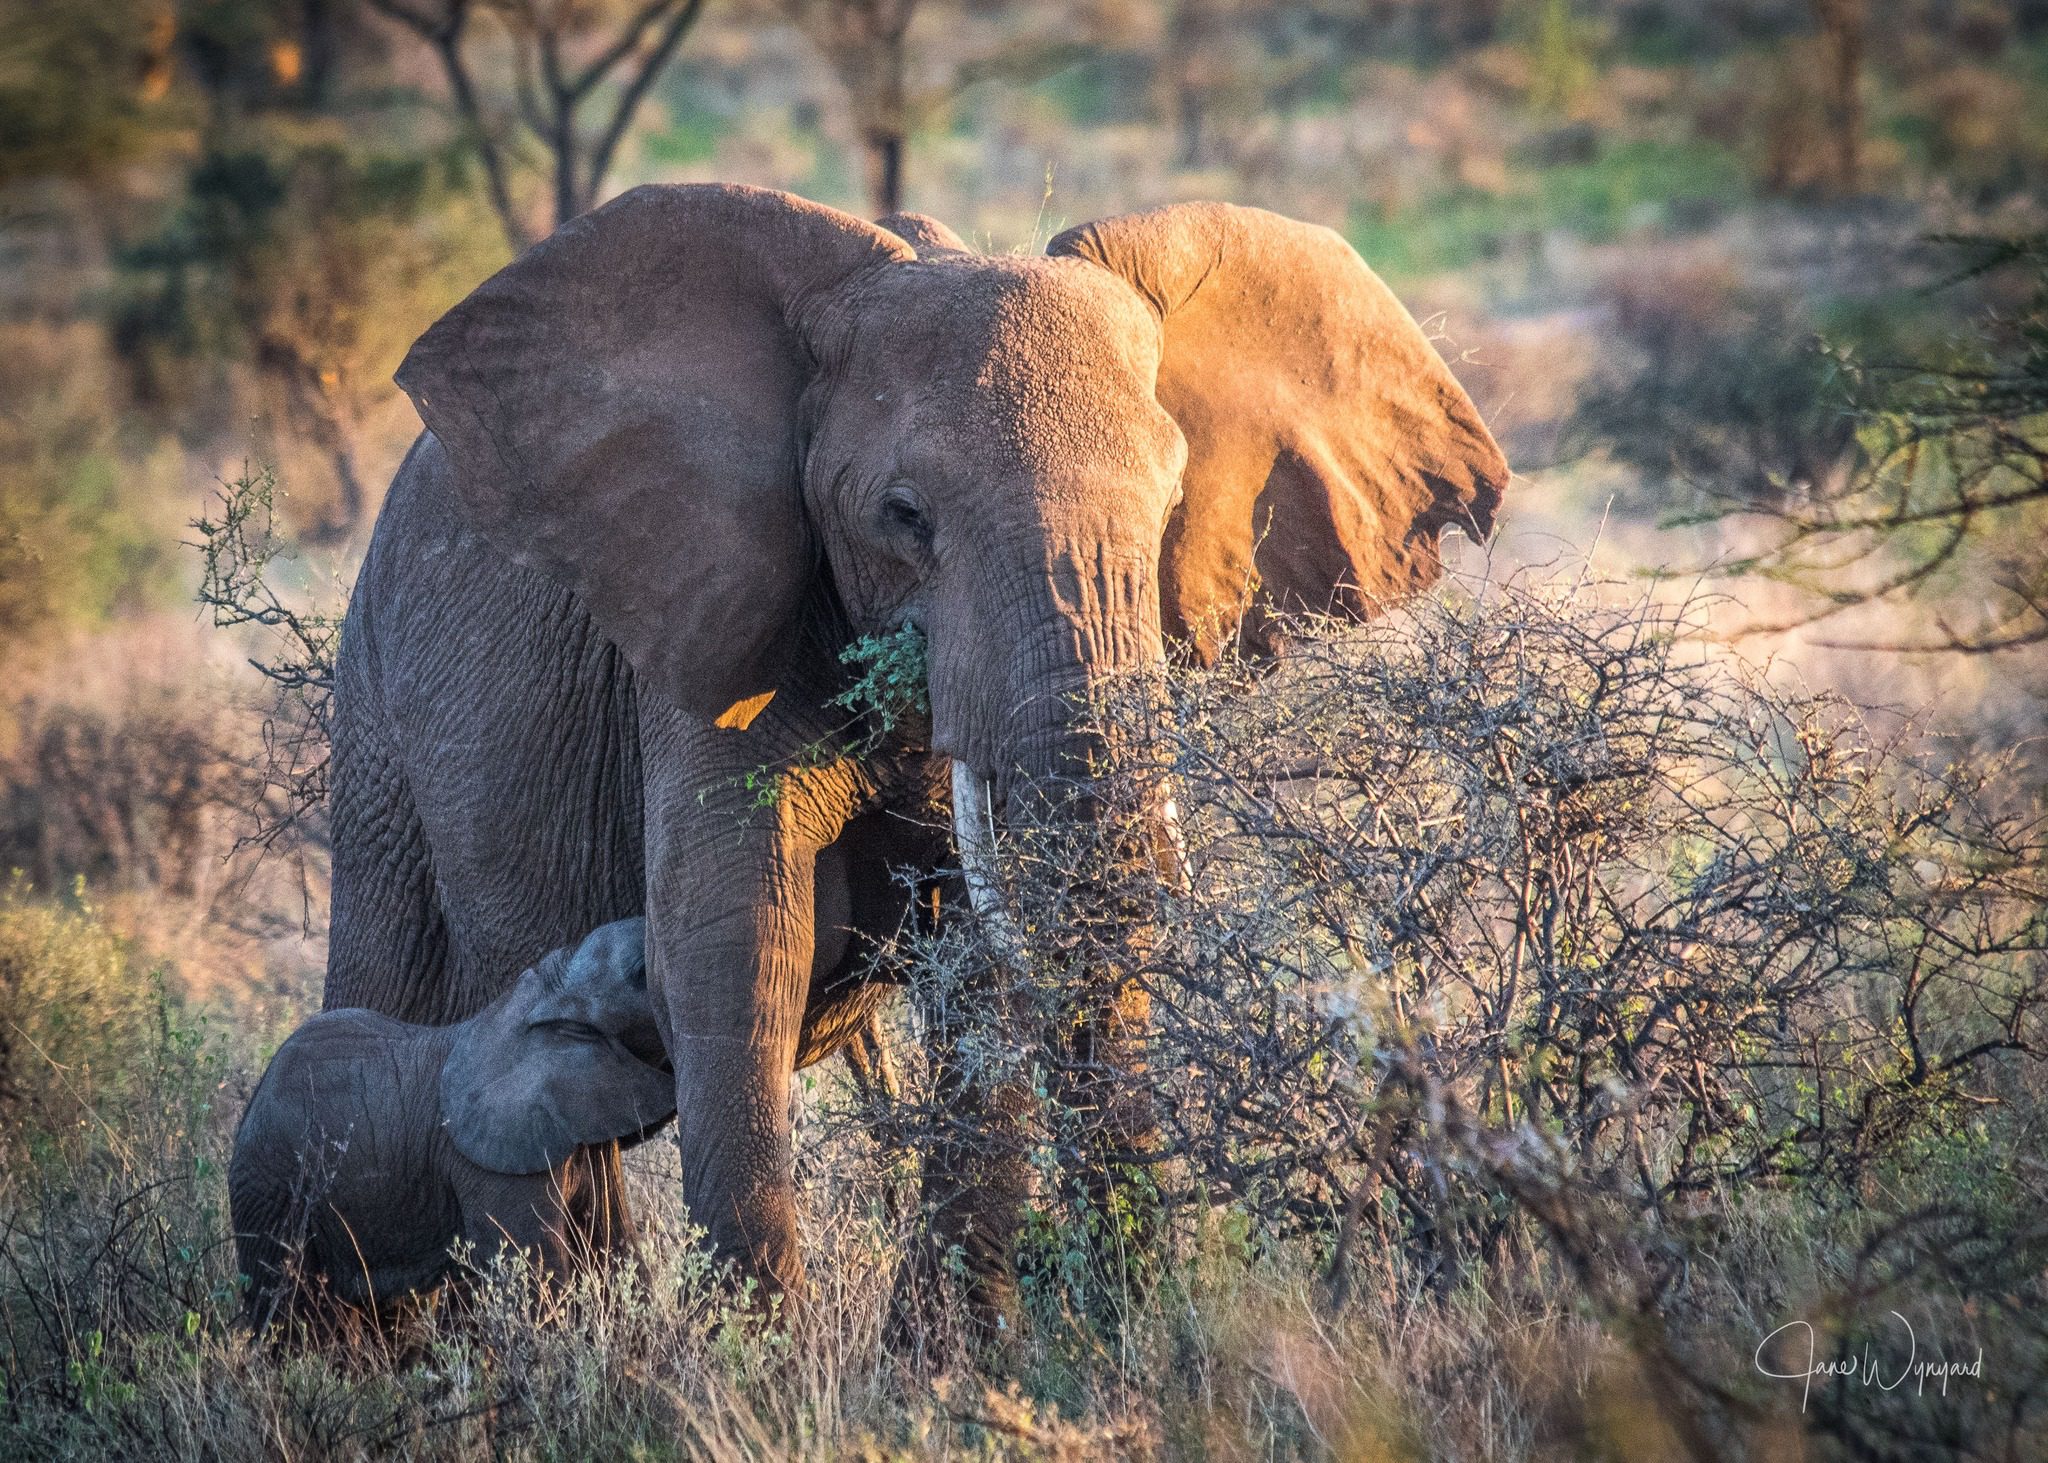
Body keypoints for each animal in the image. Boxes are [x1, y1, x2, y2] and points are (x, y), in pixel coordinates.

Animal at [233, 917, 667, 1327]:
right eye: (641, 971)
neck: (543, 997)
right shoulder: (493, 1161)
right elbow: (534, 1282)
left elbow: (616, 1253)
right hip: (271, 1191)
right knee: (293, 1311)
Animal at [319, 179, 1507, 1303]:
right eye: (903, 515)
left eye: (1173, 502)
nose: (1147, 1297)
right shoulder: (703, 619)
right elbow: (733, 947)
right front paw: (771, 1353)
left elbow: (986, 955)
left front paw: (949, 1357)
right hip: (373, 714)